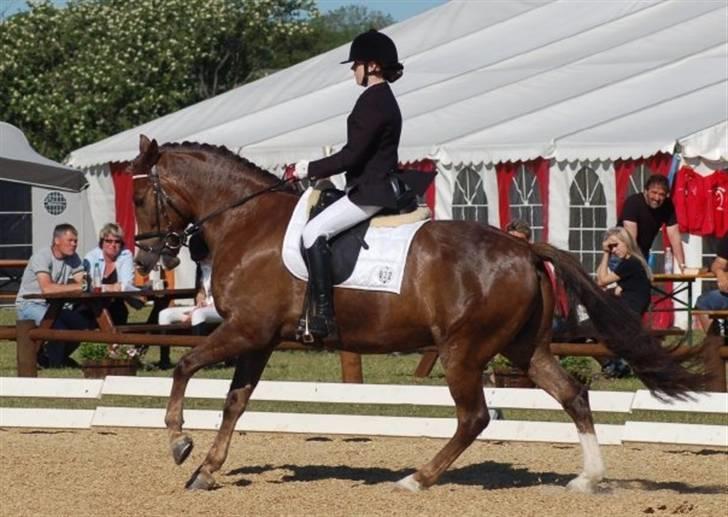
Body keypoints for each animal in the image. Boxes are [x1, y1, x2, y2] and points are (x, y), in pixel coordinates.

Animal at [129, 135, 704, 492]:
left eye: (138, 198)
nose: (145, 260)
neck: (246, 220)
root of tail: (524, 249)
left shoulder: (247, 329)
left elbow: (185, 369)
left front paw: (179, 441)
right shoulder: (260, 338)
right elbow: (235, 403)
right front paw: (206, 470)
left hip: (463, 350)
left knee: (474, 417)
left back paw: (415, 479)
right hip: (523, 348)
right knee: (573, 395)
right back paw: (587, 479)